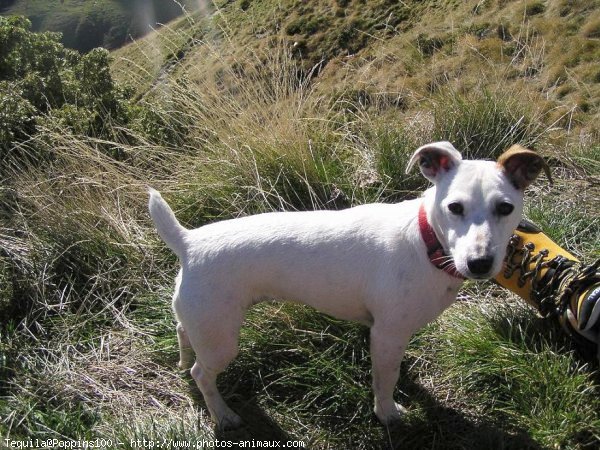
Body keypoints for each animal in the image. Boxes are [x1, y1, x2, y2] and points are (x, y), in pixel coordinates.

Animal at [149, 141, 548, 428]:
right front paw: (387, 414)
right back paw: (222, 414)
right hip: (221, 340)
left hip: (201, 319)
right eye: (455, 207)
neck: (426, 241)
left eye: (505, 208)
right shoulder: (387, 335)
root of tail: (188, 242)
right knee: (204, 374)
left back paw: (184, 360)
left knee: (184, 332)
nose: (479, 263)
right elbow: (385, 380)